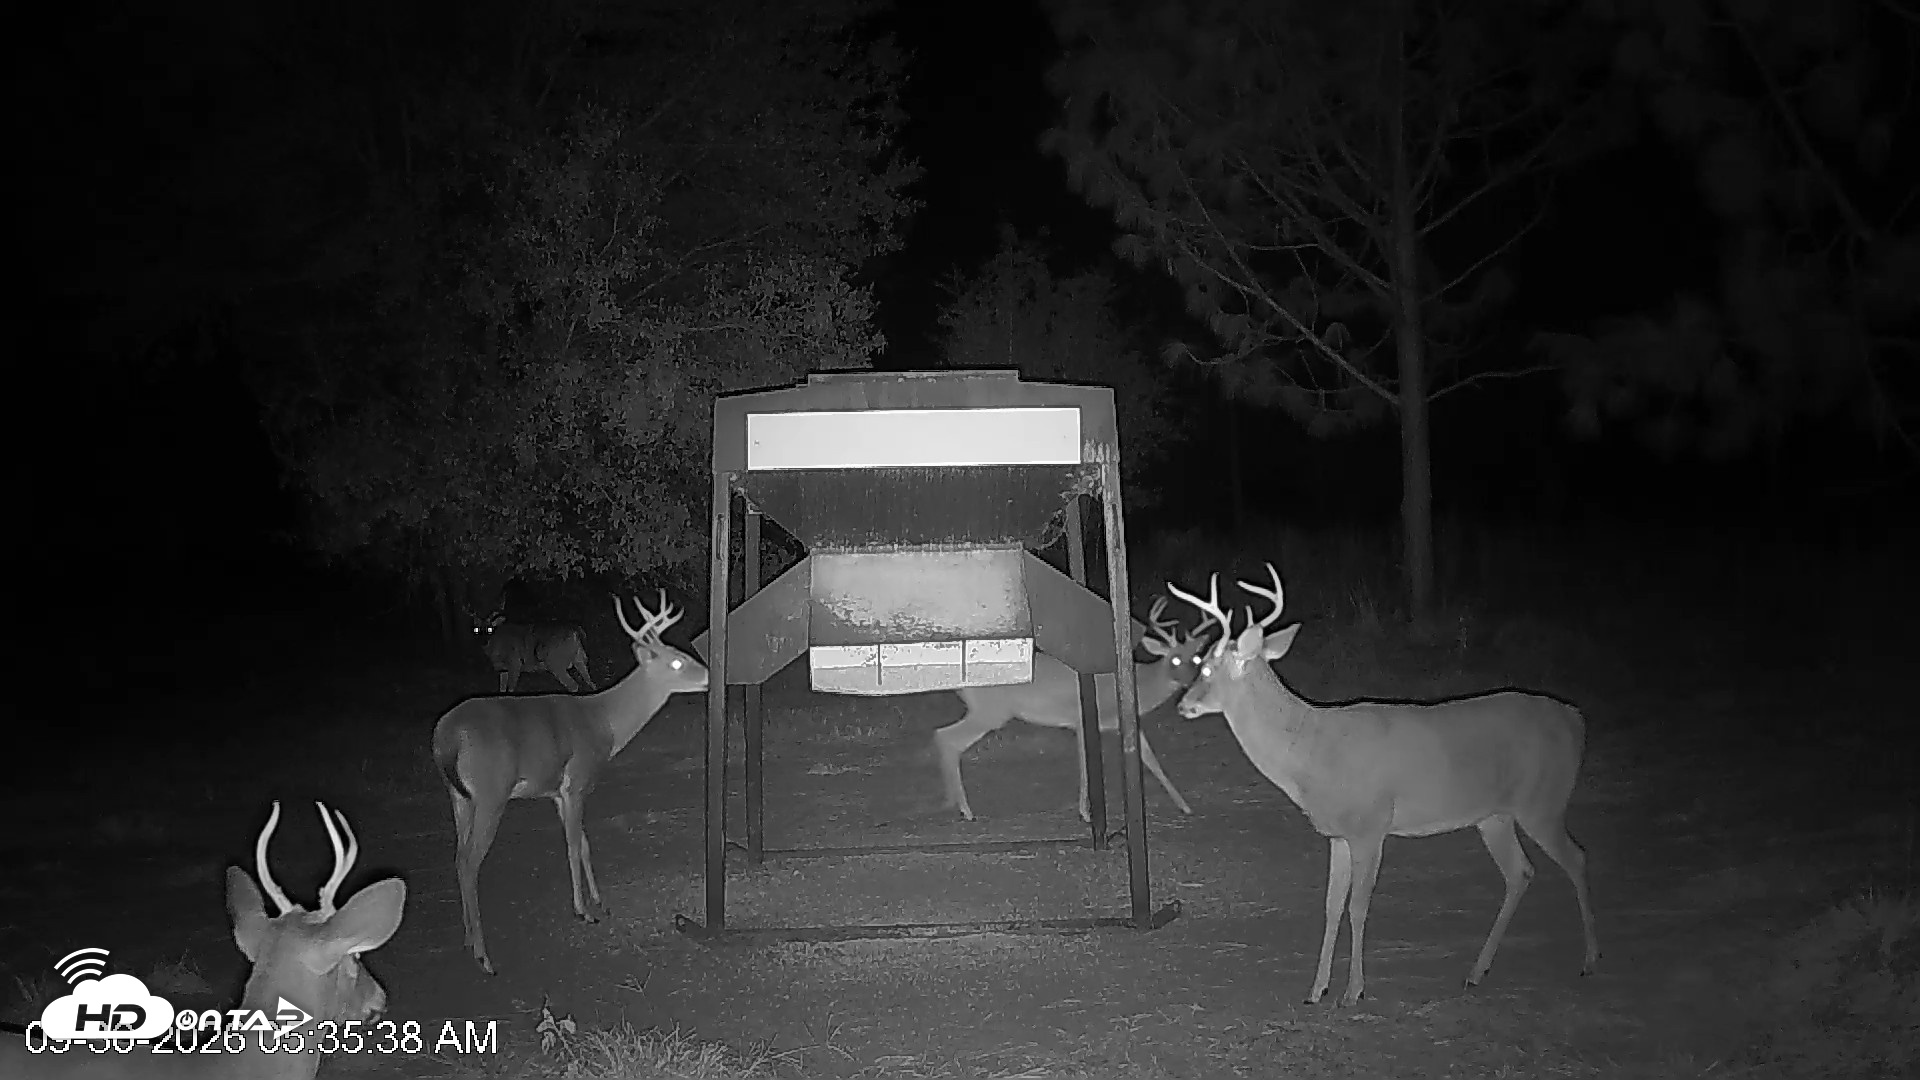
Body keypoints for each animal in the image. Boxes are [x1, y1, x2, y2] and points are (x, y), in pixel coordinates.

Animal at [432, 591, 708, 974]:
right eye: (678, 663)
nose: (709, 675)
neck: (604, 722)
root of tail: (445, 737)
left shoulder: (558, 793)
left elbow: (583, 843)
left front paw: (599, 901)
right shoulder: (578, 779)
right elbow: (574, 845)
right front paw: (584, 911)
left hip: (459, 797)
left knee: (458, 857)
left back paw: (467, 936)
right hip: (491, 792)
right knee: (471, 862)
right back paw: (484, 957)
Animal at [933, 596, 1207, 822]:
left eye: (1197, 658)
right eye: (1174, 659)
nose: (1188, 682)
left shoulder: (1125, 723)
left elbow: (1151, 760)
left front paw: (1185, 806)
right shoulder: (1081, 720)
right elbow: (1085, 766)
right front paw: (1085, 813)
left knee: (943, 737)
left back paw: (952, 803)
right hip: (991, 712)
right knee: (948, 738)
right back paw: (965, 810)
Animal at [1167, 565, 1600, 1007]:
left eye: (1205, 667)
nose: (1183, 705)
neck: (1312, 754)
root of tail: (1575, 719)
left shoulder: (1371, 826)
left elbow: (1358, 907)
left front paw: (1353, 991)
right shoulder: (1337, 834)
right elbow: (1331, 906)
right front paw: (1316, 989)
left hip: (1543, 801)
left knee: (1577, 858)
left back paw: (1589, 961)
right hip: (1495, 815)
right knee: (1520, 873)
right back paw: (1477, 973)